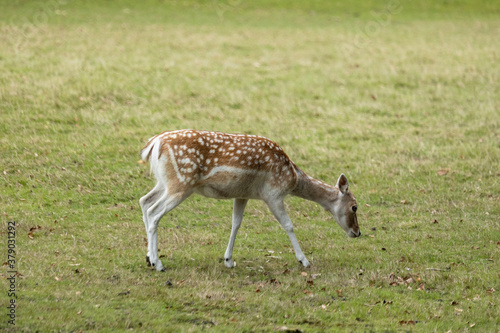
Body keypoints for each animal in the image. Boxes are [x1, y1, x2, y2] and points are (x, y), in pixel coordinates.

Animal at [139, 129, 362, 270]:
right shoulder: (273, 194)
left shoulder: (242, 194)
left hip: (164, 182)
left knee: (144, 201)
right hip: (181, 183)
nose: (358, 232)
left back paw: (149, 258)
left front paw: (228, 260)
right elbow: (288, 225)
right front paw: (304, 261)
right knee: (153, 212)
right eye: (354, 207)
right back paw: (158, 264)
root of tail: (153, 144)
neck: (292, 177)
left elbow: (236, 223)